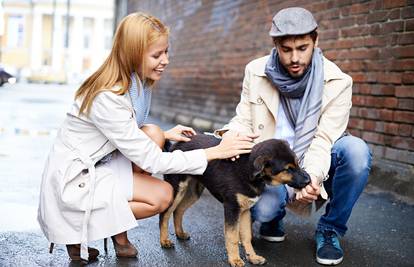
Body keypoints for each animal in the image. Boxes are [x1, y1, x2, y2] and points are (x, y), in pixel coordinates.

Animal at [158, 135, 310, 266]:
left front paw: (252, 257)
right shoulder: (232, 208)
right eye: (288, 169)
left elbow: (247, 236)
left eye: (297, 163)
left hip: (194, 191)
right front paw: (235, 259)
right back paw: (164, 241)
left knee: (178, 211)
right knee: (165, 214)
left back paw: (180, 233)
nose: (309, 180)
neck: (249, 170)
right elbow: (232, 237)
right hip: (177, 188)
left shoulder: (245, 210)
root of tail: (175, 144)